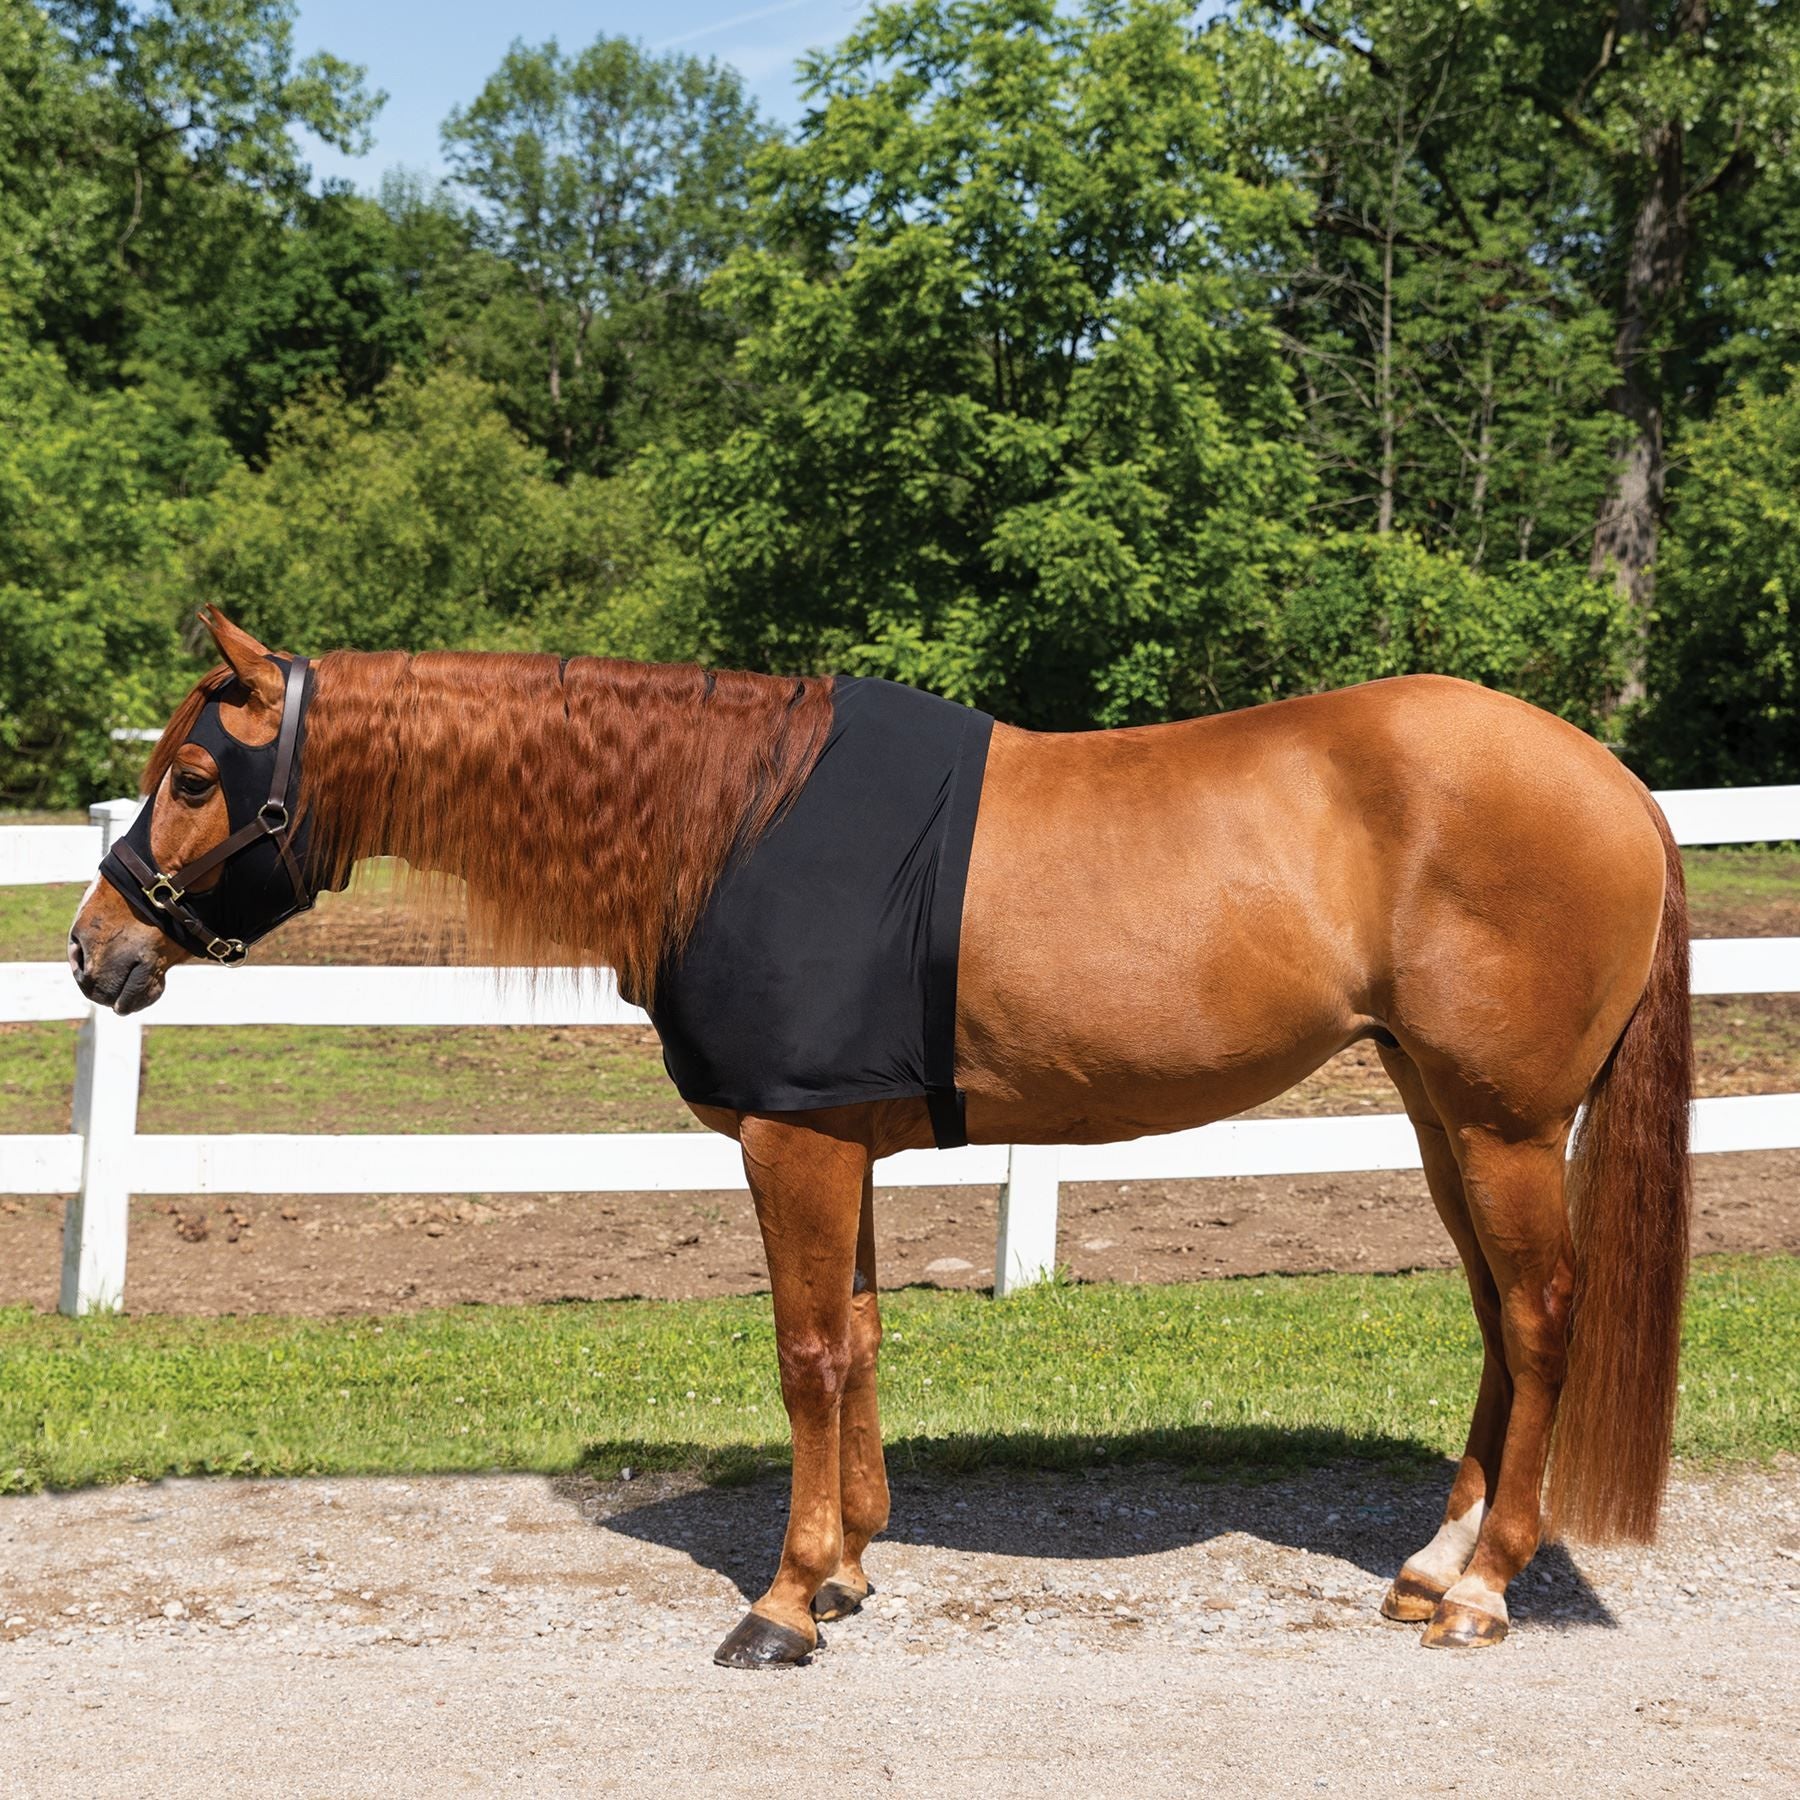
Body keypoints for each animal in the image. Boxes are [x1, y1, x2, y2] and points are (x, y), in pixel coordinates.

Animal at [69, 609, 1690, 1668]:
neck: (731, 823)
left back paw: (1484, 1588)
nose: (94, 953)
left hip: (1500, 1122)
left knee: (1540, 1316)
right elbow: (853, 1338)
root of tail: (1616, 783)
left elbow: (804, 1354)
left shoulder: (789, 1143)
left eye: (198, 777)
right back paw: (1432, 1562)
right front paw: (845, 1567)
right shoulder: (837, 1142)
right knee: (1493, 1316)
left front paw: (784, 1604)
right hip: (1438, 1109)